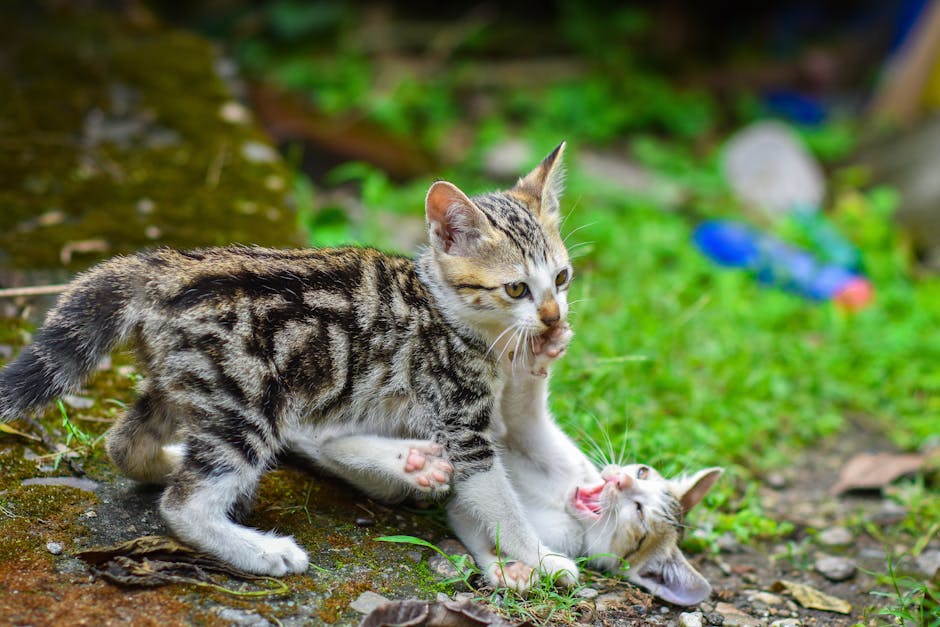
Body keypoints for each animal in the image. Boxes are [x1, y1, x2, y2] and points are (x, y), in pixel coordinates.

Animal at [0, 144, 580, 584]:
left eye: (562, 277)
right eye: (516, 288)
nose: (553, 317)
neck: (447, 311)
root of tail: (166, 269)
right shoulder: (459, 418)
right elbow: (499, 501)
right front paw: (543, 558)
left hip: (193, 381)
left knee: (125, 442)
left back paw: (171, 463)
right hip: (249, 398)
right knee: (183, 505)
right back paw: (261, 550)